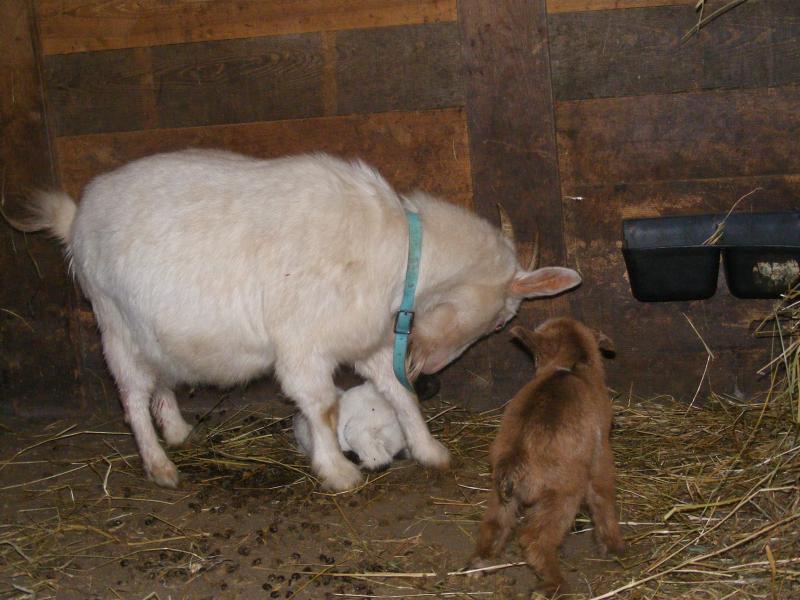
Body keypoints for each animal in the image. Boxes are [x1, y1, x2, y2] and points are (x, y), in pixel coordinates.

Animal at [470, 317, 624, 595]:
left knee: (493, 524)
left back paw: (480, 563)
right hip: (562, 495)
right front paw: (614, 546)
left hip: (501, 495)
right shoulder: (600, 457)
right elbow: (603, 498)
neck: (569, 366)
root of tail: (515, 459)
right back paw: (554, 585)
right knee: (534, 539)